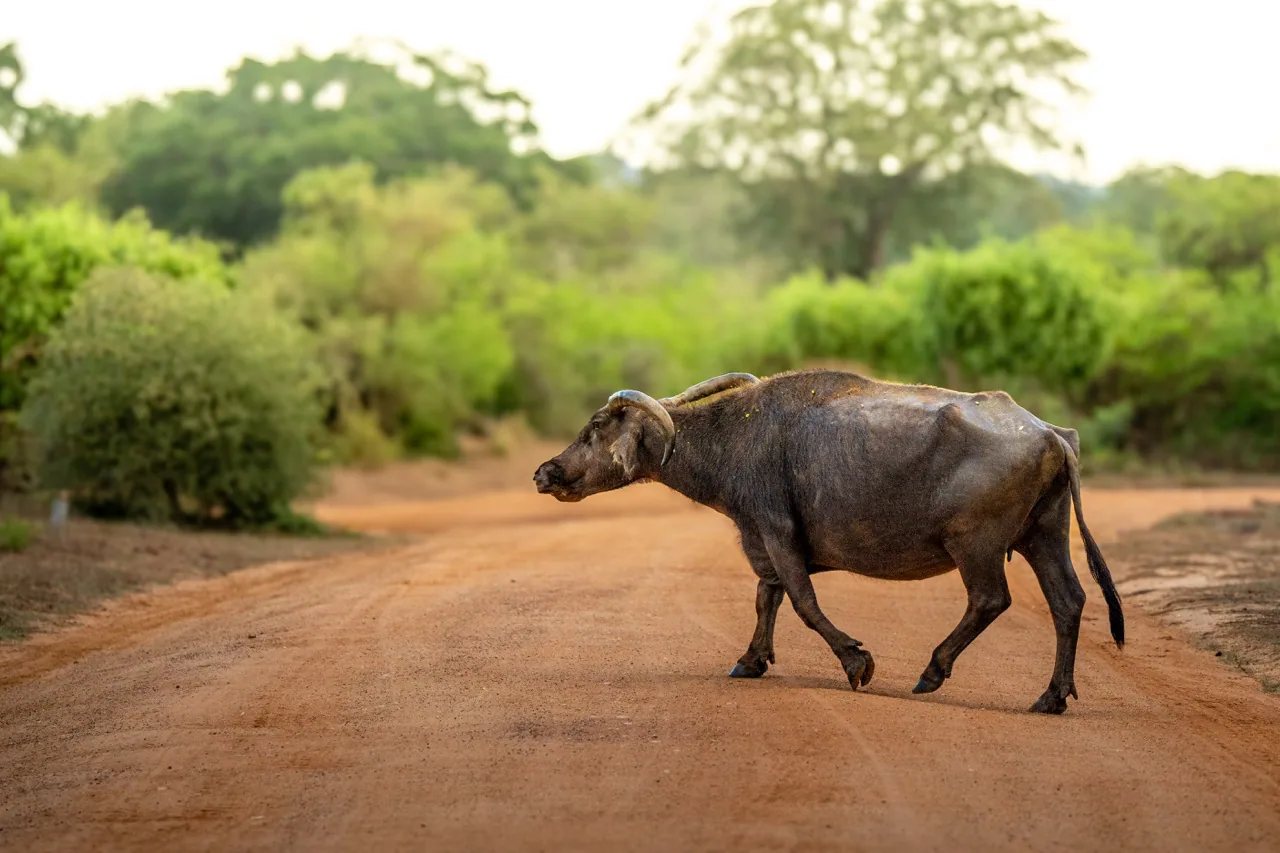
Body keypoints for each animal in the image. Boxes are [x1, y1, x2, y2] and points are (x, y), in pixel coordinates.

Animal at [533, 369, 1124, 714]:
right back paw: (1050, 696)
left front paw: (856, 663)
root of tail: (1051, 434)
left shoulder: (775, 531)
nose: (545, 472)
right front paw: (750, 660)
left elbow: (803, 603)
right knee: (1068, 601)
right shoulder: (763, 543)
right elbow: (766, 598)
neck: (736, 435)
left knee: (990, 599)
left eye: (593, 428)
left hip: (975, 544)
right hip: (1045, 535)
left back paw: (931, 673)